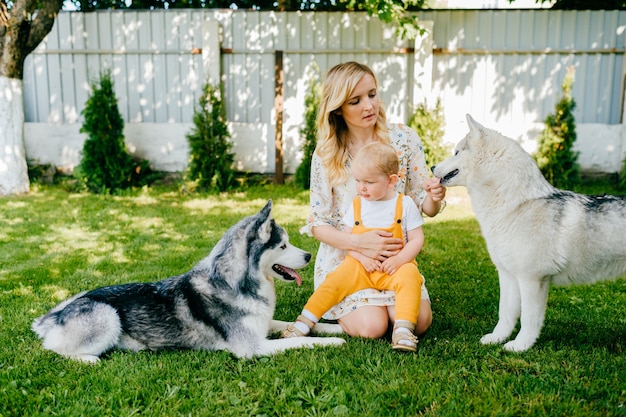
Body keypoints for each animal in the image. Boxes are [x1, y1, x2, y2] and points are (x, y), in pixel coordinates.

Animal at [31, 201, 344, 360]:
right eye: (282, 246)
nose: (307, 255)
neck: (234, 283)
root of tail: (56, 314)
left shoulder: (263, 323)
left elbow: (294, 325)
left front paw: (333, 328)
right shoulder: (251, 348)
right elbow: (300, 342)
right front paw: (334, 341)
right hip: (108, 317)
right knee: (55, 349)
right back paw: (90, 359)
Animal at [428, 114, 624, 352]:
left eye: (456, 152)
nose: (432, 166)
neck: (516, 206)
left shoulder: (532, 280)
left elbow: (529, 319)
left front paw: (520, 346)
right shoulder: (509, 276)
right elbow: (505, 314)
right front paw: (497, 339)